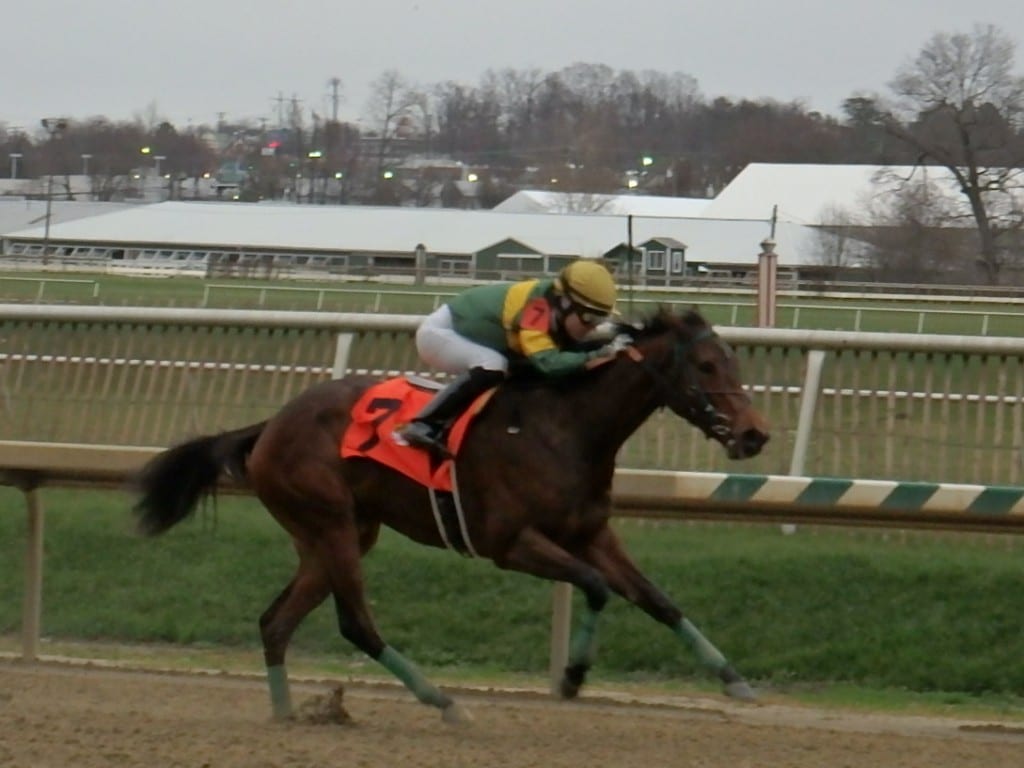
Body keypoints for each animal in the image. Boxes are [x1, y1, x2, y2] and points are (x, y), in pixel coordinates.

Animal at [134, 307, 770, 720]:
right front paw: (571, 676)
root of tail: (270, 425)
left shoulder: (590, 532)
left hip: (337, 535)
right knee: (355, 623)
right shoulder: (510, 544)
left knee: (276, 622)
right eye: (707, 367)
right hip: (330, 524)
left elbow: (658, 601)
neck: (566, 428)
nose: (755, 435)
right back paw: (441, 701)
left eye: (734, 362)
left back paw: (288, 712)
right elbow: (594, 586)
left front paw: (735, 681)